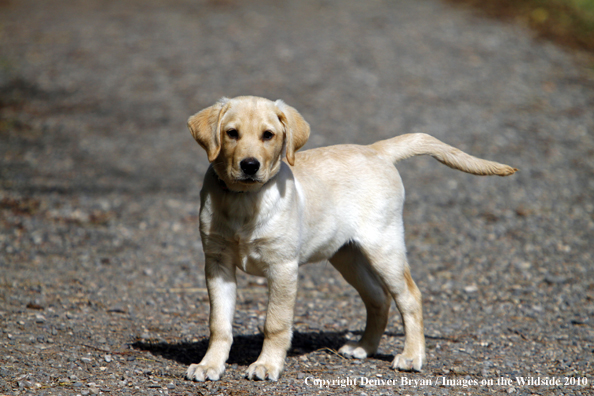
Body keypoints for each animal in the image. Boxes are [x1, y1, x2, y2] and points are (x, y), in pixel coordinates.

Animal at [185, 95, 512, 380]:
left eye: (268, 135)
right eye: (231, 133)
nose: (250, 165)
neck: (243, 199)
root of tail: (376, 149)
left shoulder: (282, 267)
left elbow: (275, 323)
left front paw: (267, 365)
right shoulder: (217, 264)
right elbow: (219, 323)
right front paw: (210, 365)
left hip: (384, 246)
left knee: (409, 297)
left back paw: (412, 356)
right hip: (347, 255)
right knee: (378, 298)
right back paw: (365, 347)